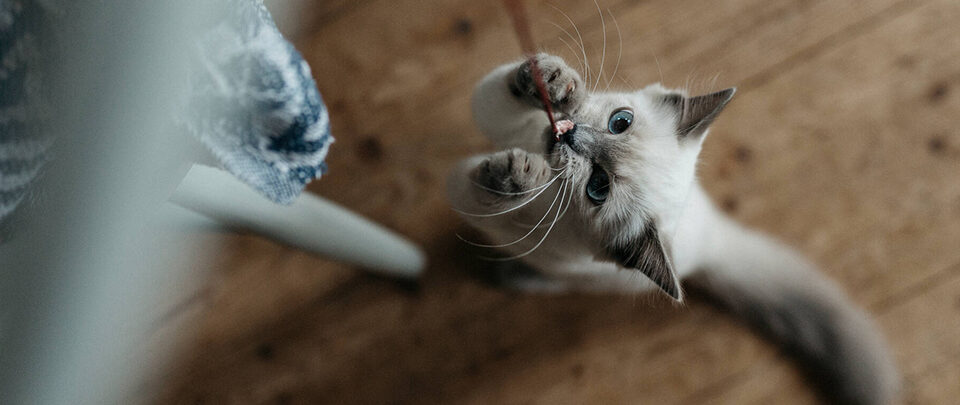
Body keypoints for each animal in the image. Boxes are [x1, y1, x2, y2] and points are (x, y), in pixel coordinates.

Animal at [450, 53, 900, 404]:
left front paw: (517, 175)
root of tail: (715, 238)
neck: (532, 144)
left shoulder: (491, 207)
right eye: (620, 121)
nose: (570, 134)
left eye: (598, 187)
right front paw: (555, 81)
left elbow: (482, 192)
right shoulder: (499, 117)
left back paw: (510, 274)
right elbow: (501, 91)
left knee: (551, 278)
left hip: (574, 272)